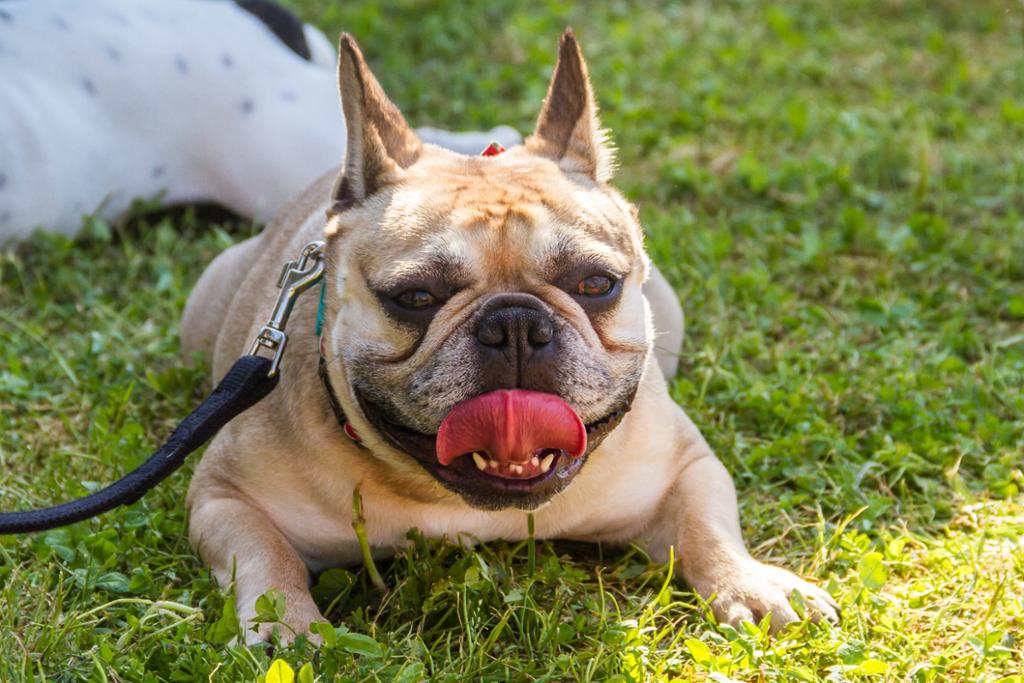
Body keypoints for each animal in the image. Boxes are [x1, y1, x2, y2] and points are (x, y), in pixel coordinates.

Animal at [184, 28, 839, 647]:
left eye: (596, 283)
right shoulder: (224, 497)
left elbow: (709, 528)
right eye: (415, 297)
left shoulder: (686, 468)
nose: (516, 324)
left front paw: (750, 585)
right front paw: (287, 624)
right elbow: (267, 557)